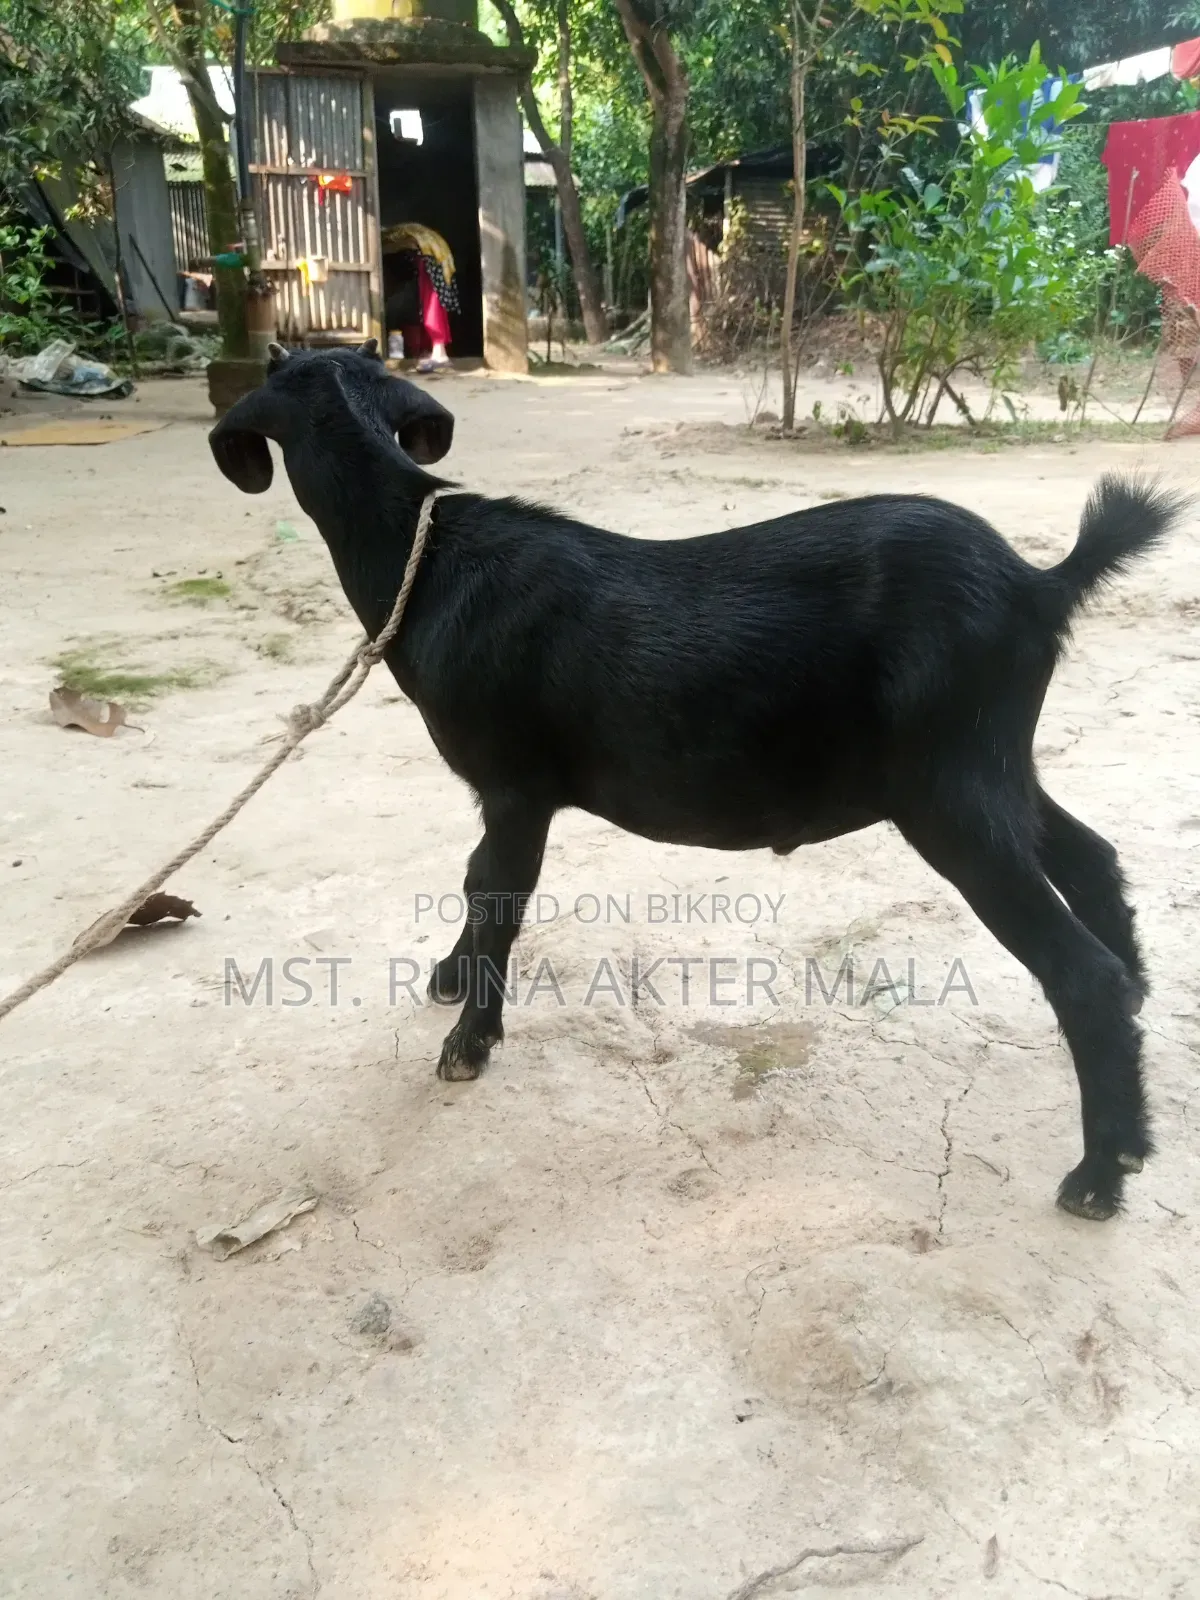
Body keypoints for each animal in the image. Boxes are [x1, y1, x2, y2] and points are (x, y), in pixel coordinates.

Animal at [210, 340, 1183, 1221]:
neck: (428, 559)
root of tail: (1039, 584)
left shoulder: (517, 784)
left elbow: (497, 893)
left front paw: (468, 1044)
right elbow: (476, 883)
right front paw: (450, 980)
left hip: (949, 790)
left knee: (1080, 972)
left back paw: (1099, 1174)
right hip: (991, 765)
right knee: (1091, 855)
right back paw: (1138, 1098)